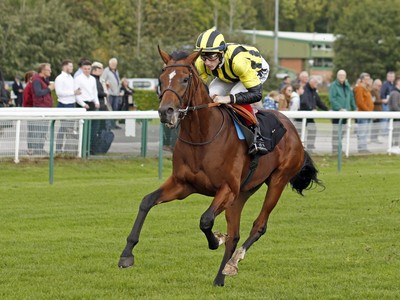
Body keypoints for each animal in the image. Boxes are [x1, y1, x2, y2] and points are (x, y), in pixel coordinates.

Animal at [118, 47, 322, 286]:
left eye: (185, 79)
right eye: (161, 79)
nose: (165, 111)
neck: (202, 136)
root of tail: (293, 130)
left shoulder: (226, 189)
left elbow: (205, 220)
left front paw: (215, 240)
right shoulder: (183, 185)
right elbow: (147, 201)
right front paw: (126, 254)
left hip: (277, 182)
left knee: (259, 225)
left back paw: (233, 263)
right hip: (243, 192)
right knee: (235, 234)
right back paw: (220, 277)